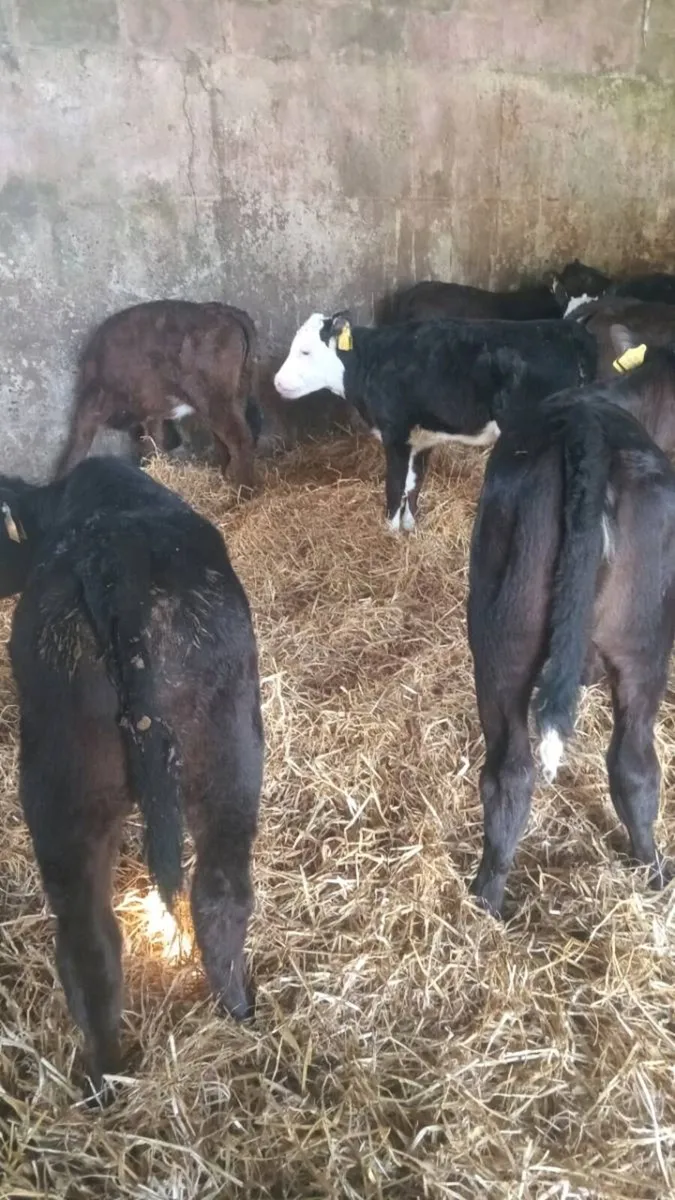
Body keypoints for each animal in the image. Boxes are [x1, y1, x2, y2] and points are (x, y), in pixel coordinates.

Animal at [54, 301, 261, 494]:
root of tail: (225, 311)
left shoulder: (92, 402)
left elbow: (76, 446)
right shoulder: (150, 412)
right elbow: (153, 442)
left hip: (216, 401)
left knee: (239, 439)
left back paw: (244, 494)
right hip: (233, 397)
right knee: (225, 441)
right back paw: (225, 480)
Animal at [273, 311, 597, 531]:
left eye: (305, 351)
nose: (276, 381)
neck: (370, 363)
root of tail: (568, 330)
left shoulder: (396, 434)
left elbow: (394, 485)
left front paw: (389, 534)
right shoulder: (421, 438)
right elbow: (413, 484)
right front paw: (410, 528)